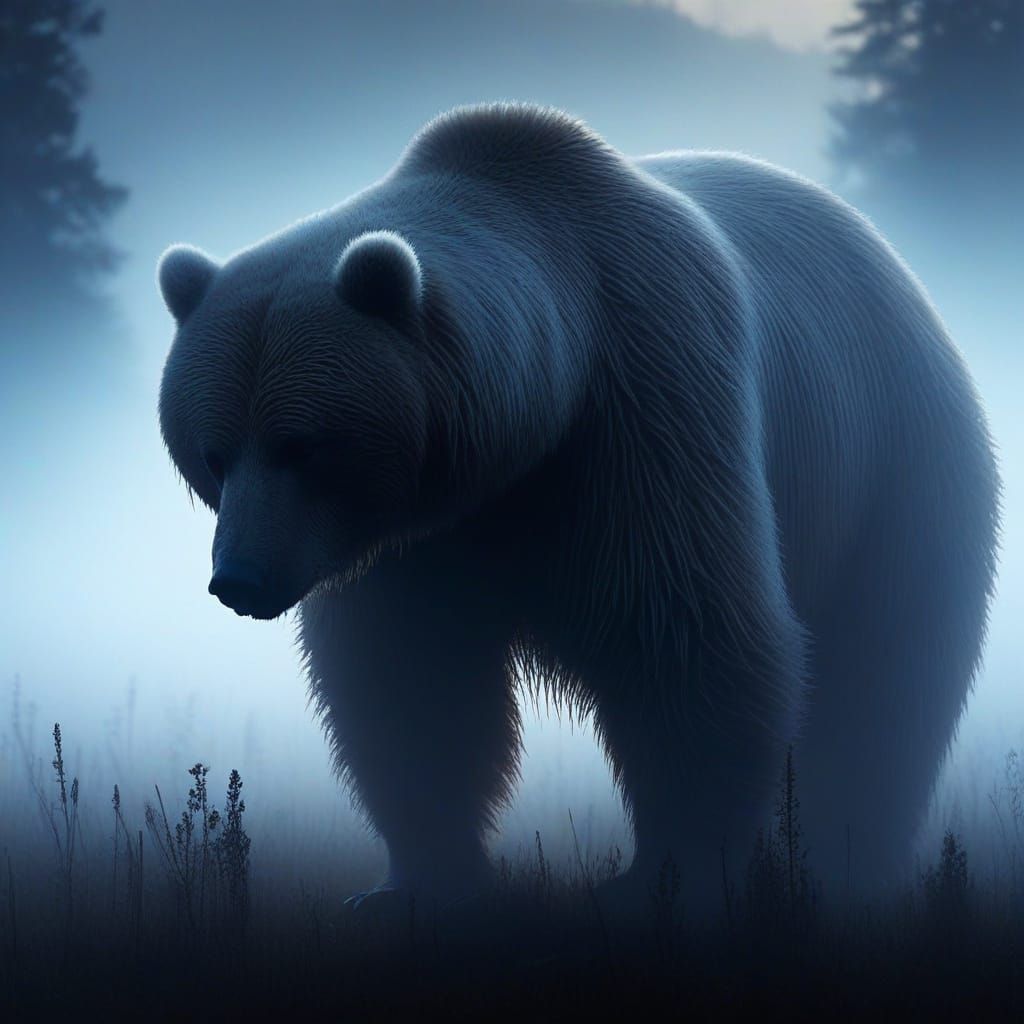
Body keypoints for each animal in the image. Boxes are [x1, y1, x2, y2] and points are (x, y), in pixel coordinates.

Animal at [157, 102, 1000, 914]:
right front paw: (414, 883)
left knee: (884, 677)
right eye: (215, 451)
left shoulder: (645, 414)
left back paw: (850, 862)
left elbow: (687, 642)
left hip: (898, 467)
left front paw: (667, 876)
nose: (239, 579)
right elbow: (409, 682)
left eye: (301, 446)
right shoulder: (420, 539)